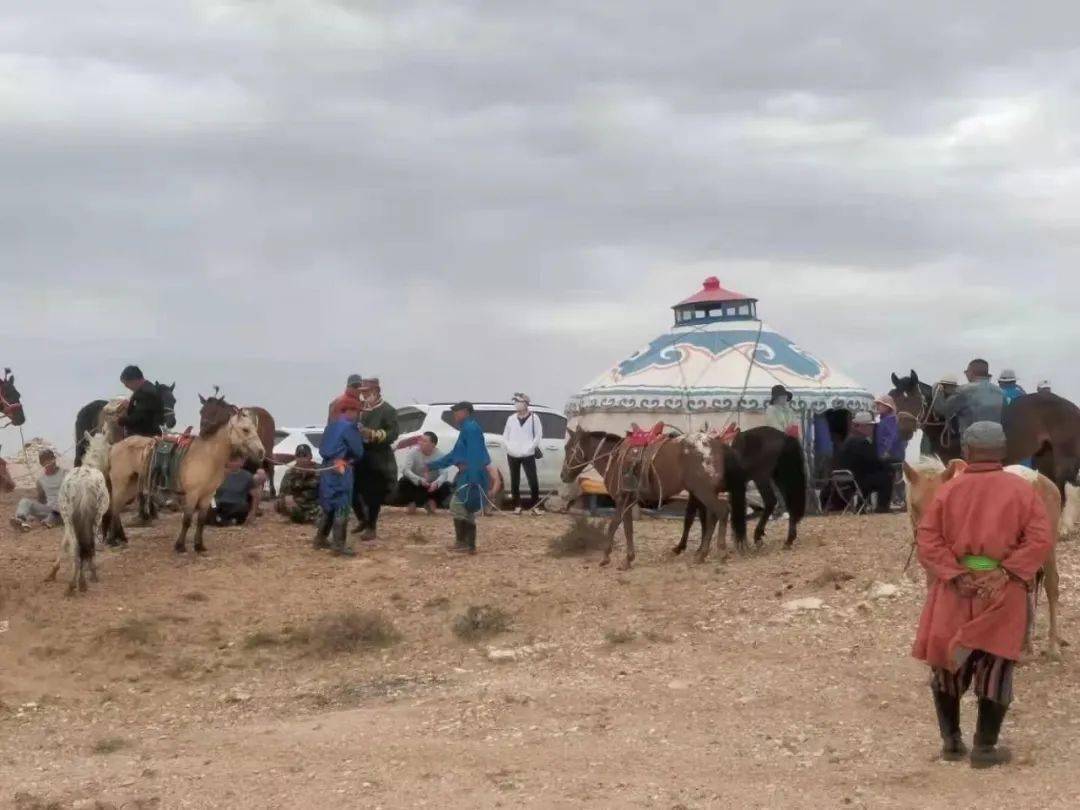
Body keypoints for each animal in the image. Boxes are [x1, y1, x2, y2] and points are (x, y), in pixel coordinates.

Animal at [47, 432, 111, 596]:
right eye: (110, 446)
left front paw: (53, 571)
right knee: (86, 545)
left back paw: (72, 584)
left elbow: (64, 543)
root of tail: (83, 483)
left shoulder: (67, 520)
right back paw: (82, 582)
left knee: (75, 547)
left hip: (69, 517)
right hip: (95, 518)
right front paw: (91, 572)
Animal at [105, 408, 265, 557]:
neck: (207, 456)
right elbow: (187, 520)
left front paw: (199, 546)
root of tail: (114, 446)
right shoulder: (192, 494)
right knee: (114, 508)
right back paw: (112, 540)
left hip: (131, 486)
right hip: (120, 484)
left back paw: (121, 538)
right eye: (245, 429)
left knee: (117, 509)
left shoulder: (207, 495)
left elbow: (201, 521)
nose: (261, 452)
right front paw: (180, 546)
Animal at [561, 427, 730, 565]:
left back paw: (720, 551)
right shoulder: (628, 500)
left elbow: (615, 525)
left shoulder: (621, 499)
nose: (563, 475)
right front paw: (627, 558)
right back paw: (702, 554)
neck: (614, 458)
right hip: (704, 493)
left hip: (703, 491)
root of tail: (715, 445)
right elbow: (626, 527)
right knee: (711, 517)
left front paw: (609, 557)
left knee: (721, 511)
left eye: (568, 448)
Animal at [678, 427, 807, 557]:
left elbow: (690, 518)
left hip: (761, 477)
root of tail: (784, 437)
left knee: (771, 502)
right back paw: (788, 540)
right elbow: (699, 518)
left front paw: (681, 547)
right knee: (789, 504)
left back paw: (758, 536)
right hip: (778, 477)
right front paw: (699, 548)